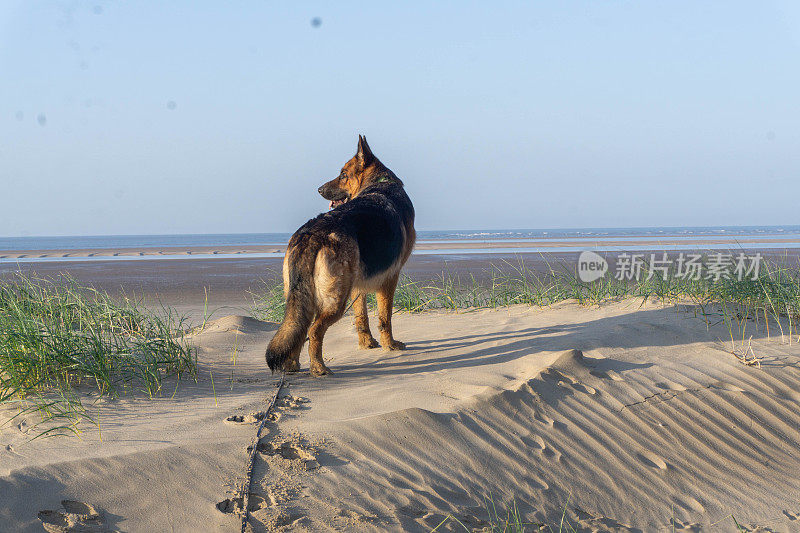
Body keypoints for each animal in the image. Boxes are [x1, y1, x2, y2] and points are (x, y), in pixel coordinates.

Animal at [266, 136, 416, 374]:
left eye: (344, 175)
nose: (319, 189)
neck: (379, 183)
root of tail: (311, 233)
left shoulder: (357, 286)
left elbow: (361, 318)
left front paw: (367, 344)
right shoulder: (390, 279)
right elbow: (385, 318)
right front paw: (390, 346)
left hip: (302, 298)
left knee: (299, 329)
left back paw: (293, 365)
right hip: (336, 301)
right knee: (314, 331)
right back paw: (319, 368)